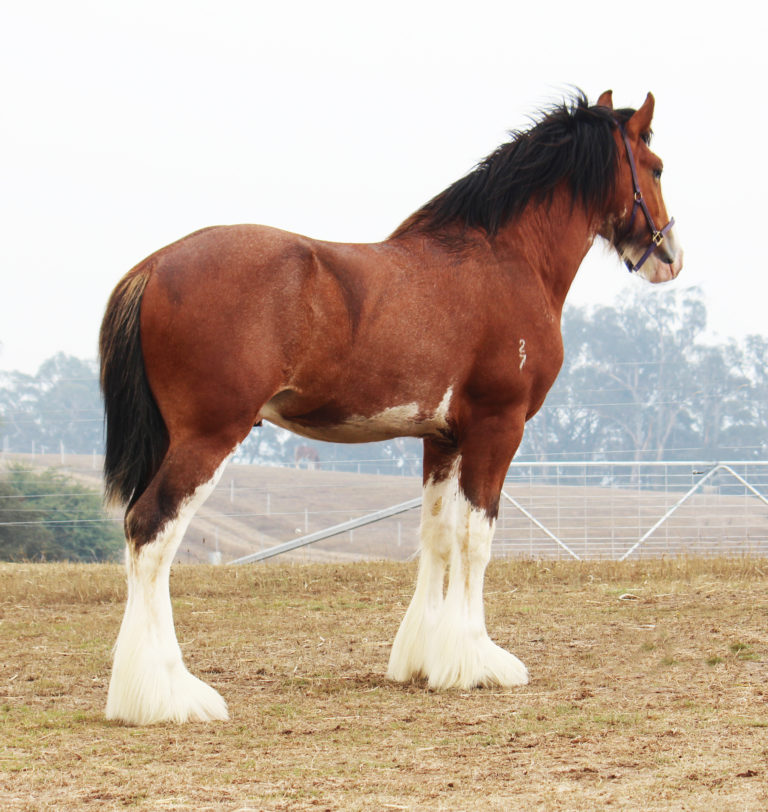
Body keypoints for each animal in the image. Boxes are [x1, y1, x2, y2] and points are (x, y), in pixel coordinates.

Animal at [99, 89, 680, 724]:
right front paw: (477, 662)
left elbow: (438, 537)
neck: (504, 260)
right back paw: (168, 694)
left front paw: (427, 660)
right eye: (655, 168)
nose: (670, 257)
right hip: (209, 437)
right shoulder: (497, 428)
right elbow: (477, 539)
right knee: (152, 533)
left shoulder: (442, 438)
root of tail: (153, 267)